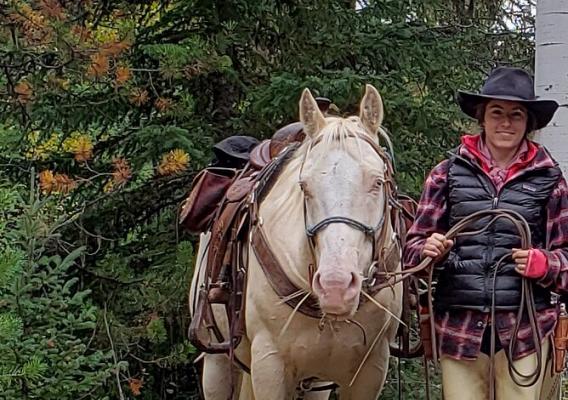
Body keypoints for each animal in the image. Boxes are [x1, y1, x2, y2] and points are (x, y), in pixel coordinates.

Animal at [191, 85, 404, 400]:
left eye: (378, 182)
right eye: (304, 185)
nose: (336, 287)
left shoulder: (371, 370)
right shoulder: (269, 366)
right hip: (217, 363)